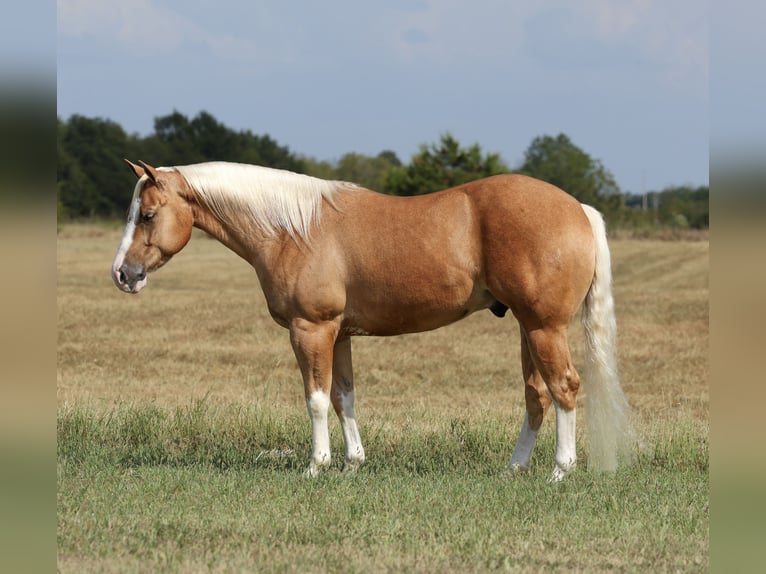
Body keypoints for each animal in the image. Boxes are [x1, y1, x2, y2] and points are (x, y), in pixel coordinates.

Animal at [112, 159, 633, 481]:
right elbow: (344, 397)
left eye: (148, 214)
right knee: (537, 395)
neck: (292, 229)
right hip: (528, 328)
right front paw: (352, 463)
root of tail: (579, 209)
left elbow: (316, 399)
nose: (122, 274)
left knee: (564, 387)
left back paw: (559, 471)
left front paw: (316, 465)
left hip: (545, 327)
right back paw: (515, 468)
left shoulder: (311, 329)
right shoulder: (340, 333)